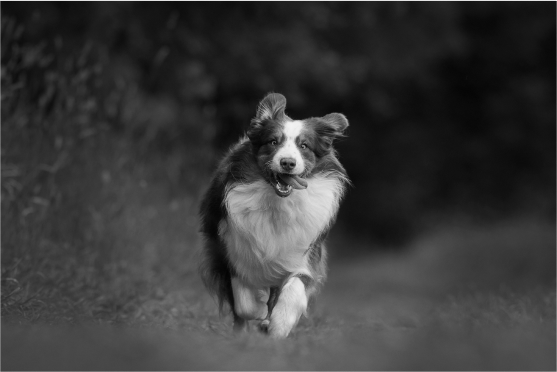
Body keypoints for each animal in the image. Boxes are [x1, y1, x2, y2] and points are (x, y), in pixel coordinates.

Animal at [199, 92, 348, 338]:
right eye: (273, 142)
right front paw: (258, 313)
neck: (278, 203)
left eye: (304, 146)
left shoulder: (304, 255)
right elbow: (243, 303)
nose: (288, 162)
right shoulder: (228, 250)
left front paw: (279, 325)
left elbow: (295, 288)